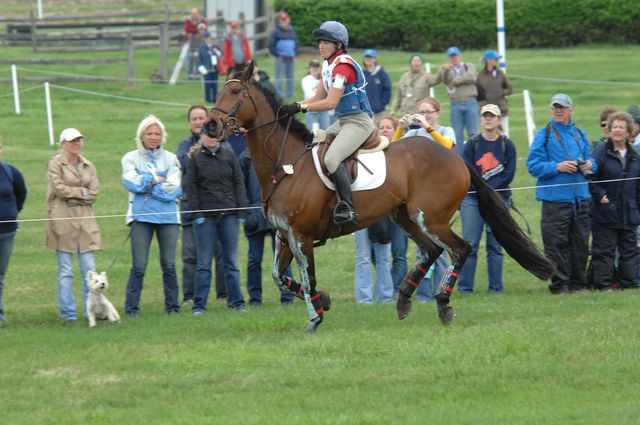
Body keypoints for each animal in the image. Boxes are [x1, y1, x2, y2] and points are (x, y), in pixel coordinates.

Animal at [206, 63, 556, 332]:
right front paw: (324, 301)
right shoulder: (285, 235)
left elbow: (307, 277)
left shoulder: (301, 236)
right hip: (404, 216)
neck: (287, 163)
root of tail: (454, 153)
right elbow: (281, 278)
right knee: (430, 252)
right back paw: (403, 300)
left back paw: (442, 304)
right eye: (220, 91)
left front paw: (315, 318)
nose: (210, 125)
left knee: (459, 250)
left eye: (235, 93)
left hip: (431, 218)